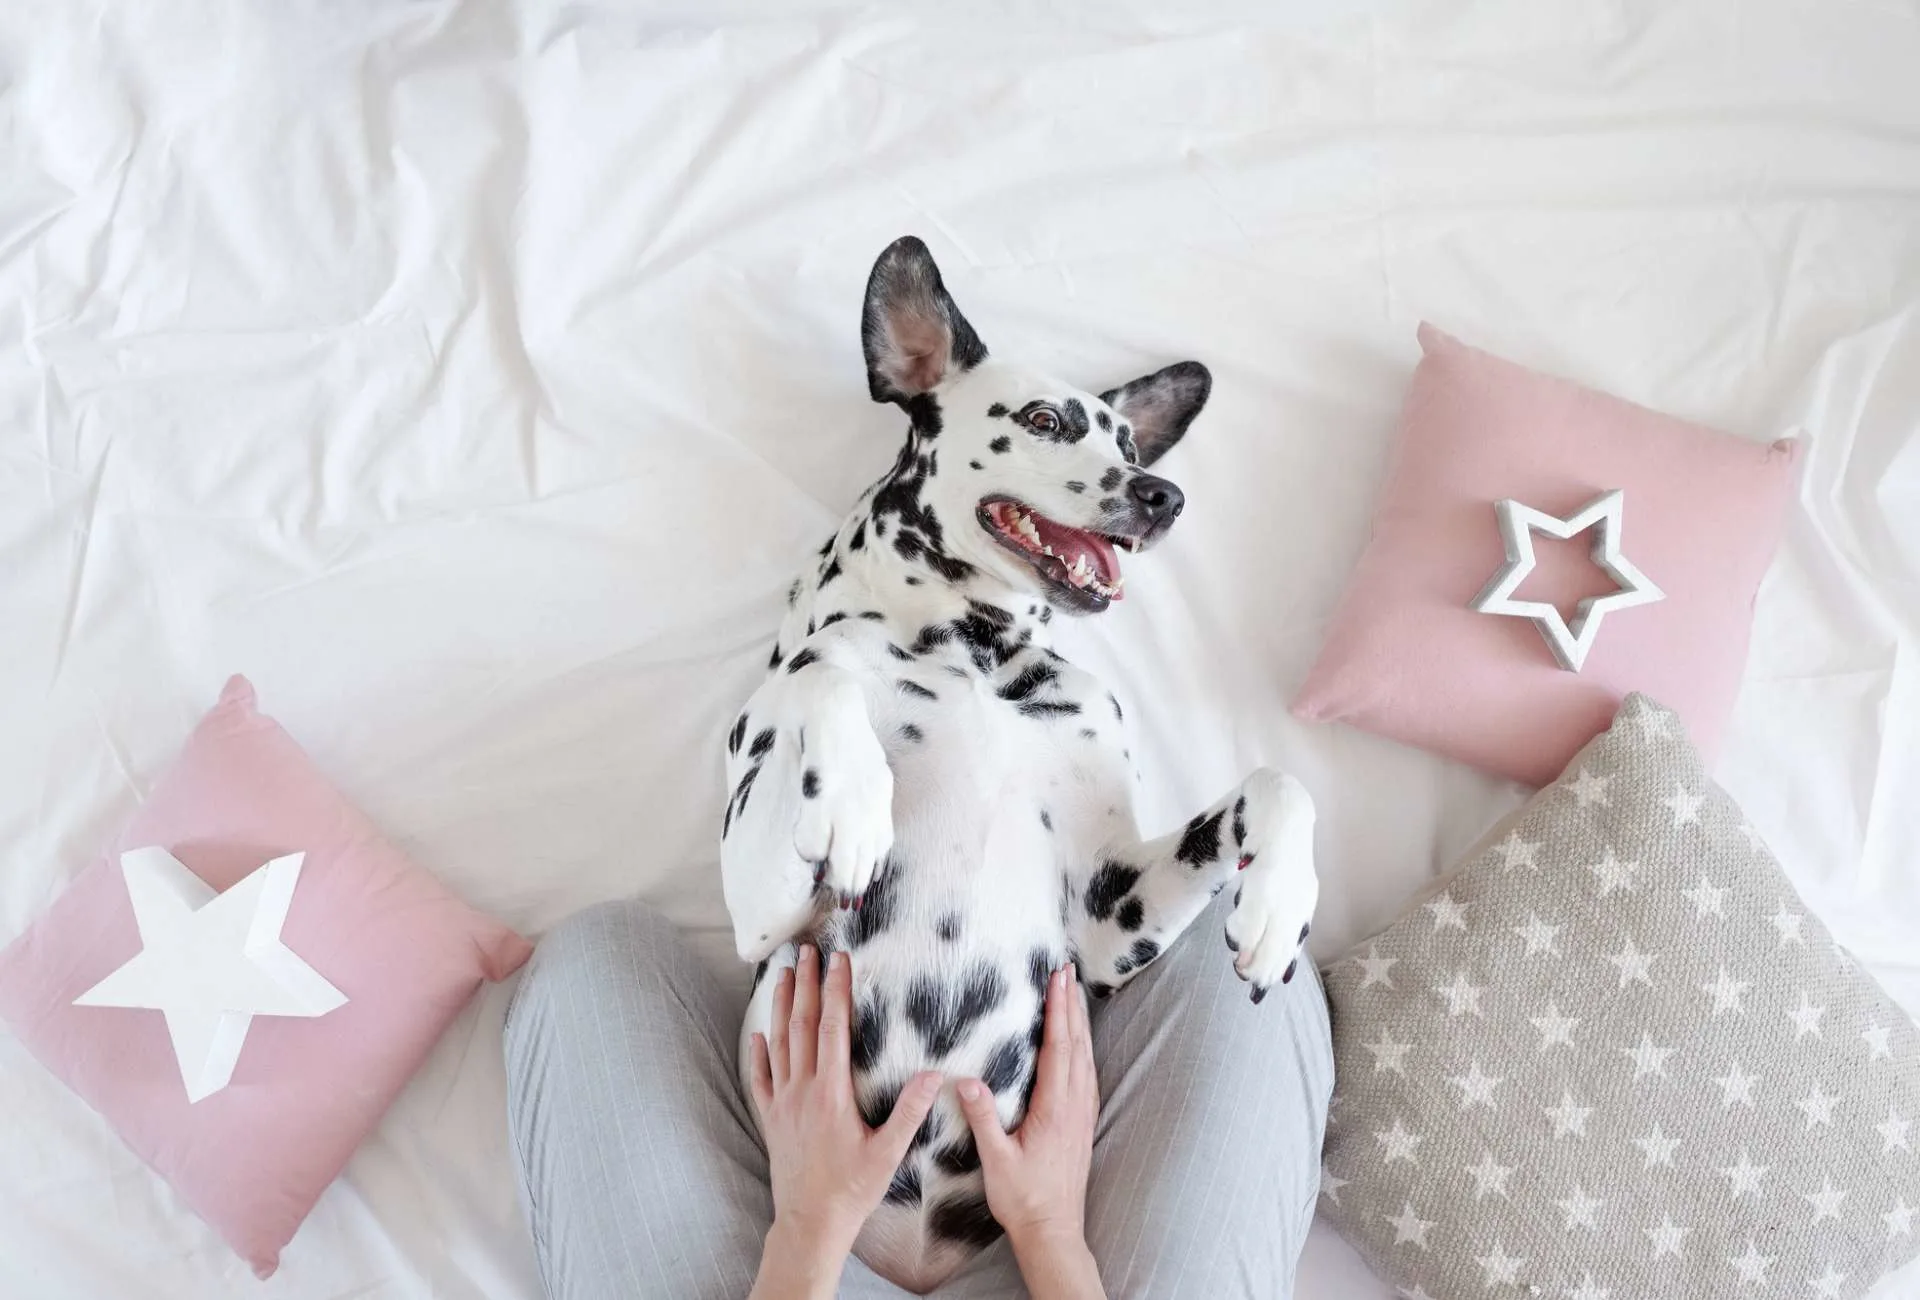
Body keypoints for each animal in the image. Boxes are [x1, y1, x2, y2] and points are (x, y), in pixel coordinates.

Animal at [721, 236, 1320, 1290]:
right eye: (1043, 421)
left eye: (1130, 446)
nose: (1163, 496)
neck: (977, 650)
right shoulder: (763, 914)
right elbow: (819, 670)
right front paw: (854, 800)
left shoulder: (1110, 918)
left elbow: (1276, 782)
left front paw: (1280, 903)